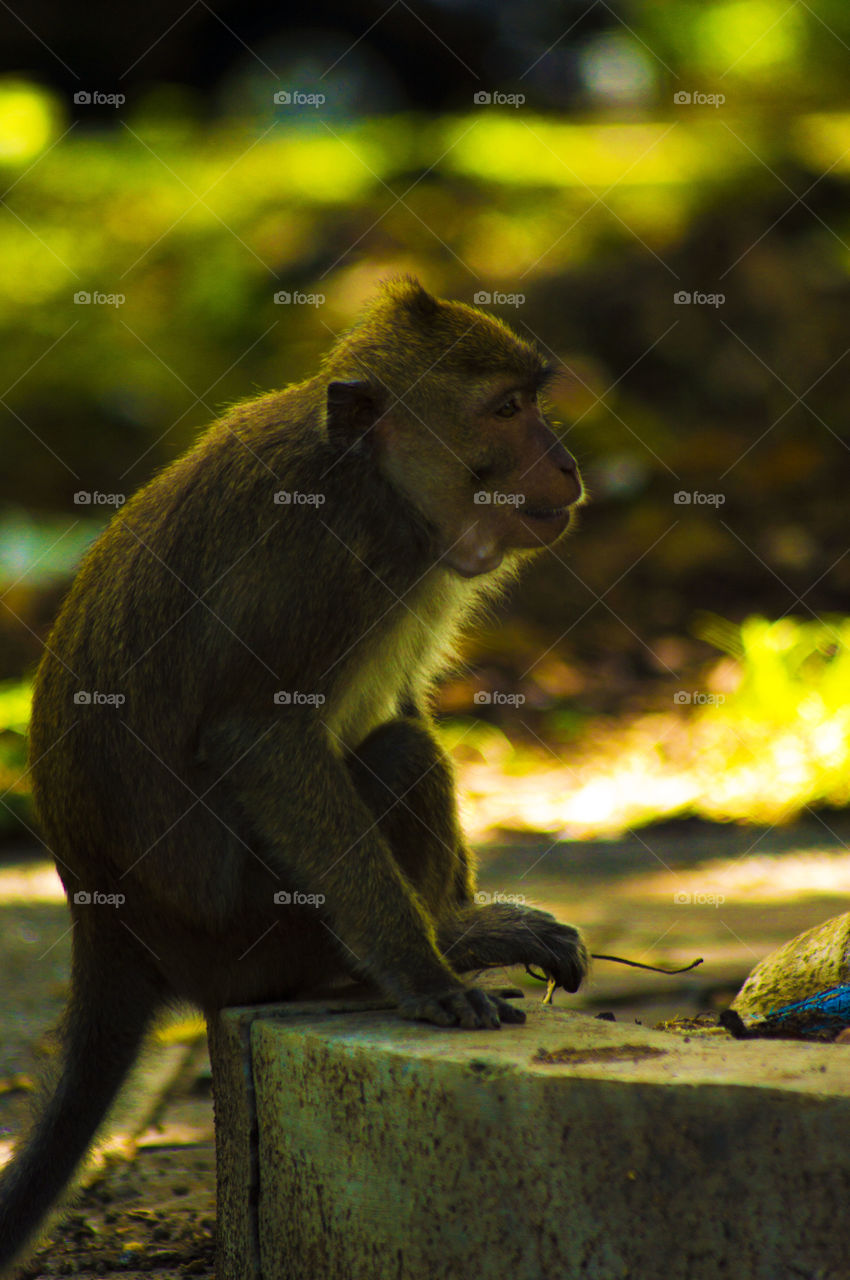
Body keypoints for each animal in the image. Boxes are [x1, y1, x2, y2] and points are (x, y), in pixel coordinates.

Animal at [0, 277, 588, 1274]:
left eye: (532, 401)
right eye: (507, 411)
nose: (569, 465)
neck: (376, 486)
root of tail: (106, 921)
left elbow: (399, 703)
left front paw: (465, 923)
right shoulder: (321, 558)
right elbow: (261, 738)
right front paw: (426, 970)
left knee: (398, 741)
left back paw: (459, 928)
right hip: (253, 936)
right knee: (393, 759)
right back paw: (402, 957)